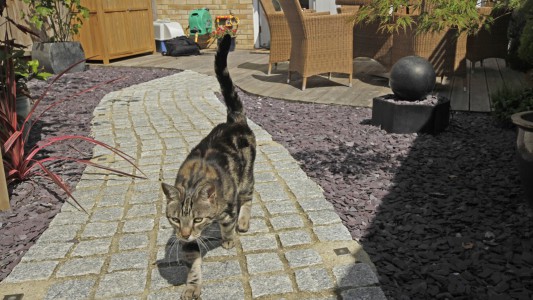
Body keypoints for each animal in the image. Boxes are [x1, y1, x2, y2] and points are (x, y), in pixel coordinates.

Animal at [160, 34, 256, 298]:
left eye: (198, 219)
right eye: (175, 220)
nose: (184, 233)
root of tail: (234, 120)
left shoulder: (228, 205)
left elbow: (228, 224)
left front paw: (229, 238)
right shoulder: (189, 243)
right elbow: (193, 265)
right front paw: (193, 287)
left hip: (246, 176)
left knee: (248, 198)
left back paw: (243, 223)